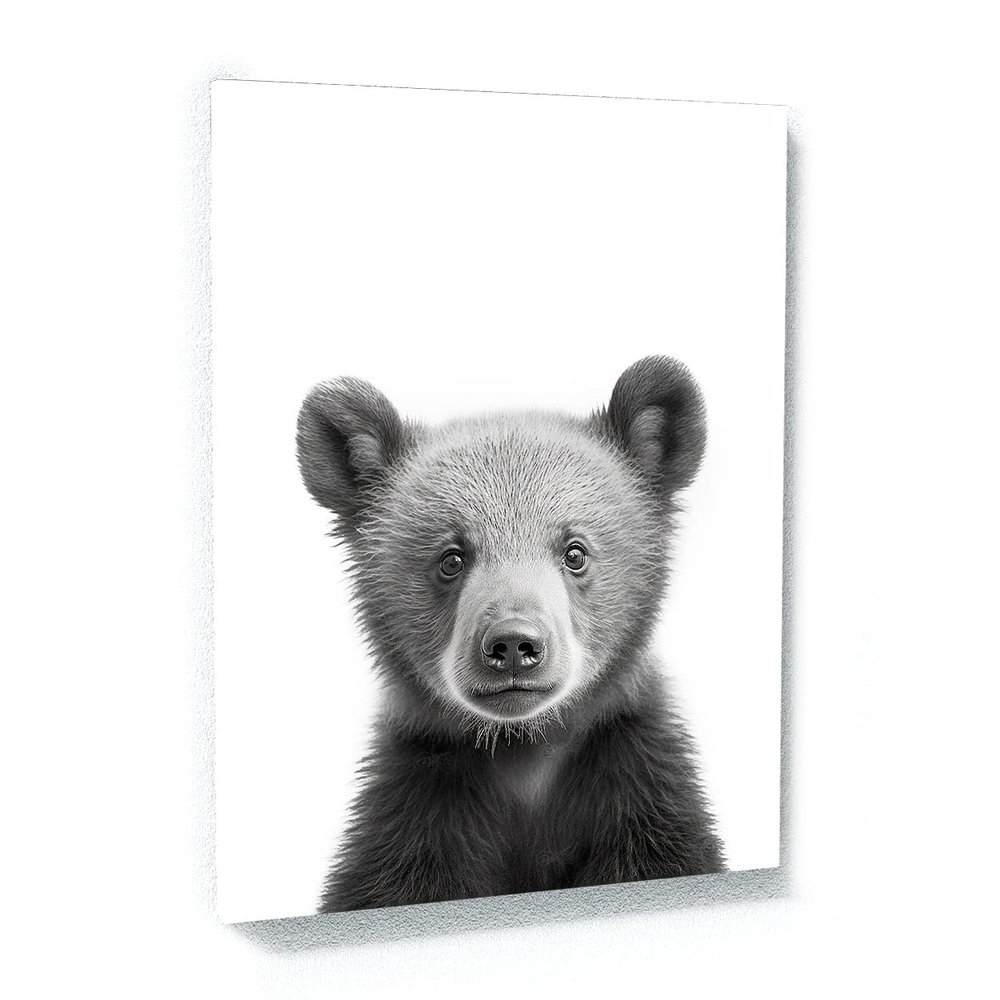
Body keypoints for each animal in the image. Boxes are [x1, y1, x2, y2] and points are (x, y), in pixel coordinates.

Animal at [296, 356, 725, 912]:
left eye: (575, 551)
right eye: (451, 558)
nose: (514, 644)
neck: (523, 751)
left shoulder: (642, 804)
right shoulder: (415, 821)